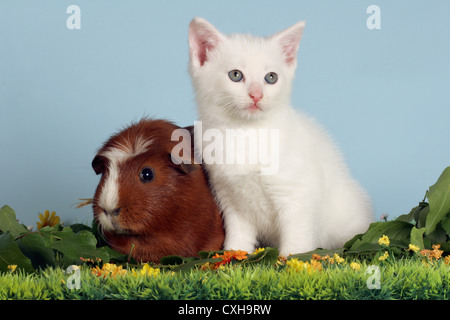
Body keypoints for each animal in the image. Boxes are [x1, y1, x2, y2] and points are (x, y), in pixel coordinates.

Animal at [186, 18, 372, 258]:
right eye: (235, 75)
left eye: (271, 78)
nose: (257, 95)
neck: (245, 132)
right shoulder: (229, 197)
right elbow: (238, 232)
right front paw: (233, 255)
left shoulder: (297, 195)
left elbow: (296, 236)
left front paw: (293, 260)